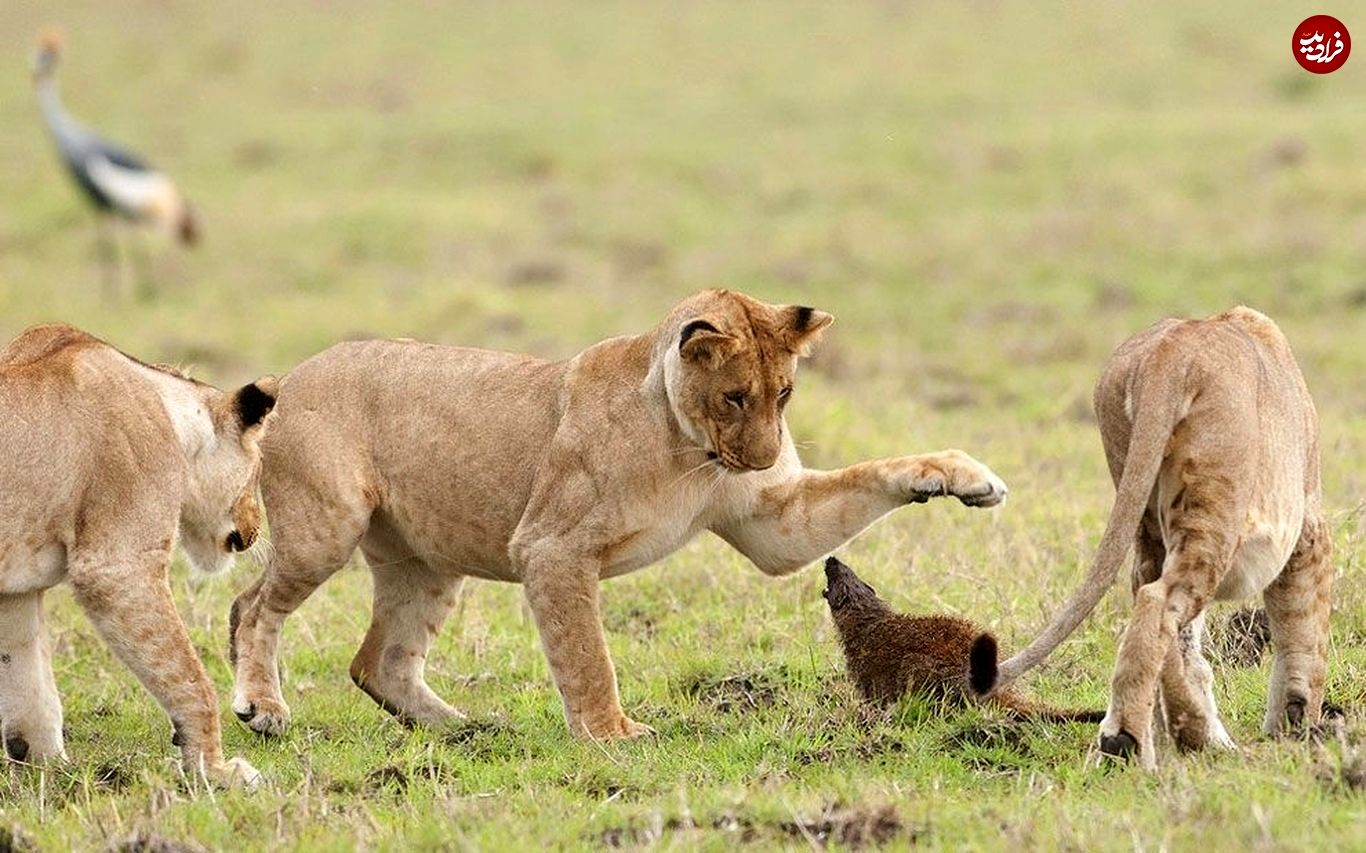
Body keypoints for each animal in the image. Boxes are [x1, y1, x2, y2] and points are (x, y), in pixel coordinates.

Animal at [0, 325, 277, 787]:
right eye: (257, 473)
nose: (256, 528)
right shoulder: (117, 567)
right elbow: (189, 679)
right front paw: (215, 771)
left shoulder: (15, 588)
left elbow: (31, 690)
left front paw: (53, 773)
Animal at [229, 288, 1010, 738]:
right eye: (734, 396)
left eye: (784, 393)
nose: (763, 458)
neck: (687, 448)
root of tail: (292, 375)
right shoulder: (551, 548)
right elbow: (586, 654)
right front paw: (611, 734)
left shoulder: (773, 522)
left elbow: (872, 475)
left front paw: (963, 476)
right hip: (327, 528)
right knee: (251, 607)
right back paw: (262, 708)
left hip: (427, 559)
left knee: (378, 660)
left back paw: (466, 729)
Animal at [994, 307, 1333, 770]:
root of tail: (1167, 353)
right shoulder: (1307, 528)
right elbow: (1305, 632)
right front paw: (1297, 725)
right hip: (1216, 510)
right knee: (1160, 603)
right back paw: (1129, 743)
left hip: (1146, 511)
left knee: (1155, 605)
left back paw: (1184, 736)